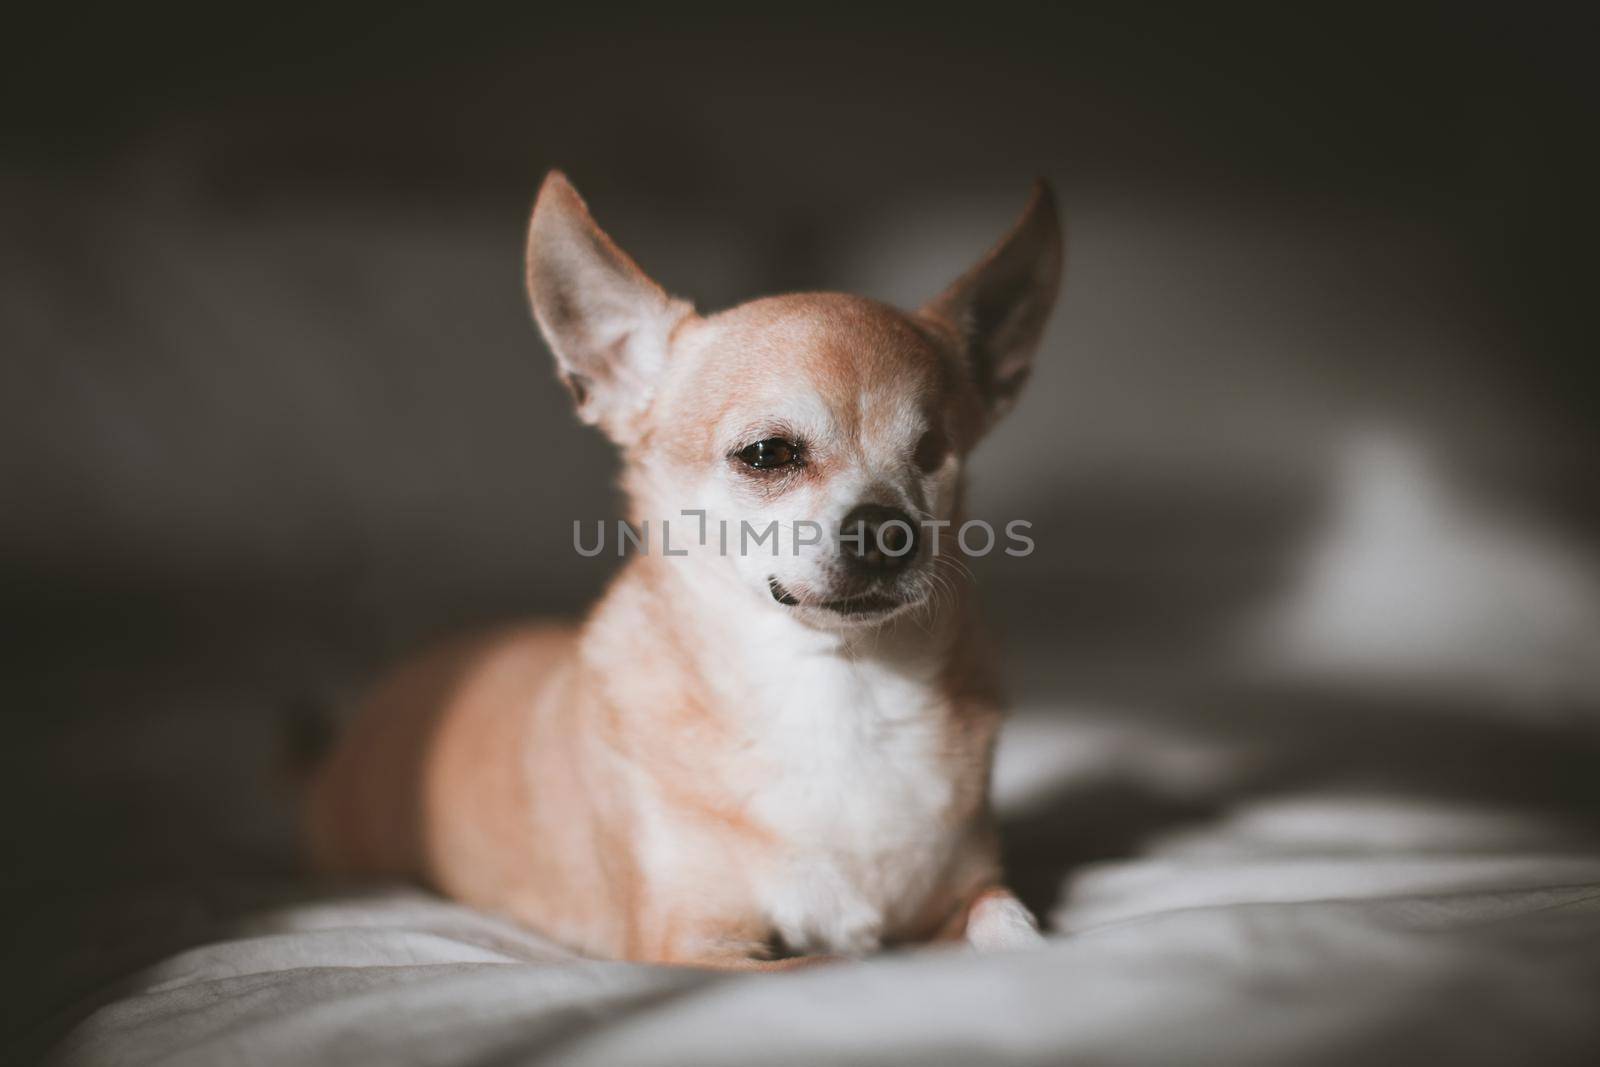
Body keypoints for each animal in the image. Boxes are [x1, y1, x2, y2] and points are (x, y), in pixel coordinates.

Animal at [310, 173, 1062, 966]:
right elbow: (825, 959)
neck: (837, 689)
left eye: (932, 455)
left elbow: (1010, 922)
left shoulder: (968, 892)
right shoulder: (699, 945)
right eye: (768, 454)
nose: (889, 530)